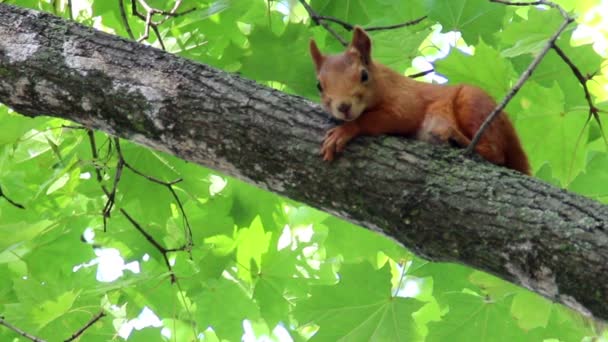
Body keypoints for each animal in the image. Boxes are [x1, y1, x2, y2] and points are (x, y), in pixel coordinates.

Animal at [312, 27, 528, 175]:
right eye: (319, 86)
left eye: (364, 75)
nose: (344, 107)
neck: (384, 82)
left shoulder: (408, 102)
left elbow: (396, 118)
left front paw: (345, 130)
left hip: (473, 102)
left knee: (495, 152)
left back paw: (456, 138)